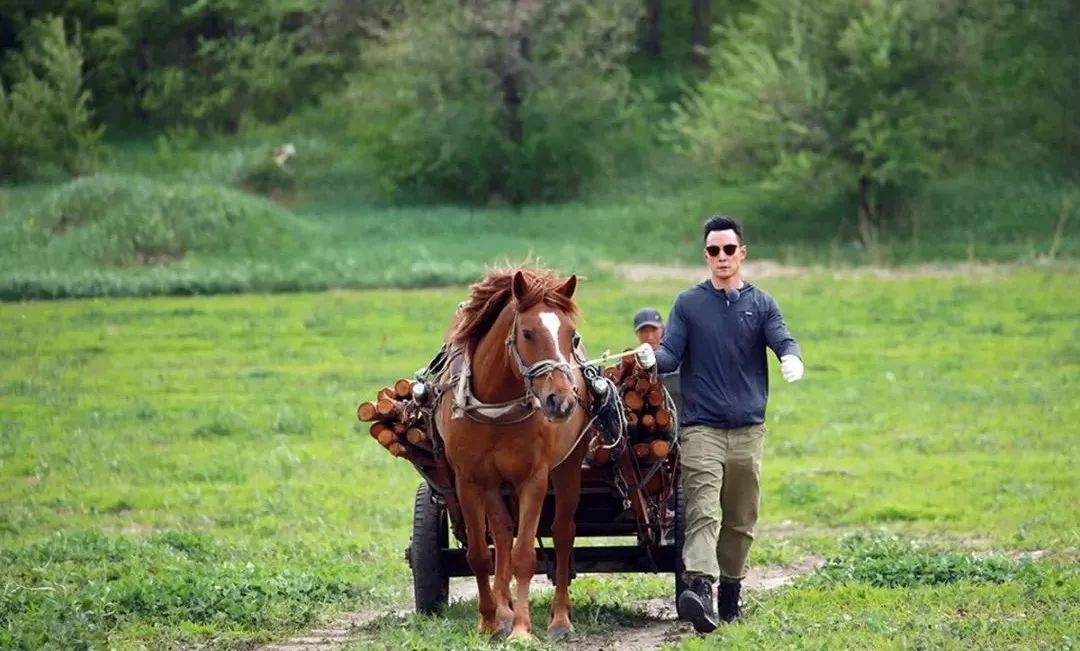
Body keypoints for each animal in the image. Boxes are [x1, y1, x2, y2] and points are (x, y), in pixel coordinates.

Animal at [434, 267, 591, 639]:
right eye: (527, 332)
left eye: (571, 335)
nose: (561, 401)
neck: (497, 405)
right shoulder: (470, 480)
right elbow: (481, 553)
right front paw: (491, 620)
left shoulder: (534, 478)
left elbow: (524, 556)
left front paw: (521, 629)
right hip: (494, 486)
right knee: (503, 534)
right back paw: (503, 609)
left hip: (568, 468)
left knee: (563, 532)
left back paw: (560, 618)